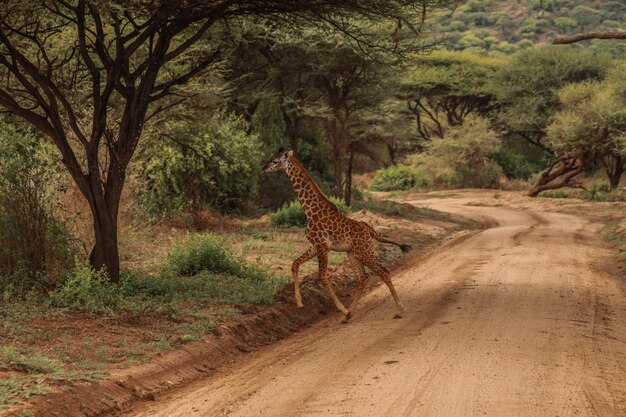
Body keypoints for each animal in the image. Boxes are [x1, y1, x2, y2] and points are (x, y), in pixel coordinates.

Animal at [260, 149, 410, 322]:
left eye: (275, 161)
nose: (263, 168)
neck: (310, 211)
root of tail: (371, 231)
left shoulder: (322, 245)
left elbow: (323, 277)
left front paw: (342, 309)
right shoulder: (314, 245)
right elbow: (295, 264)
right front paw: (299, 302)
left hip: (364, 252)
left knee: (382, 271)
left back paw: (399, 309)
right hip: (352, 253)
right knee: (363, 277)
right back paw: (349, 315)